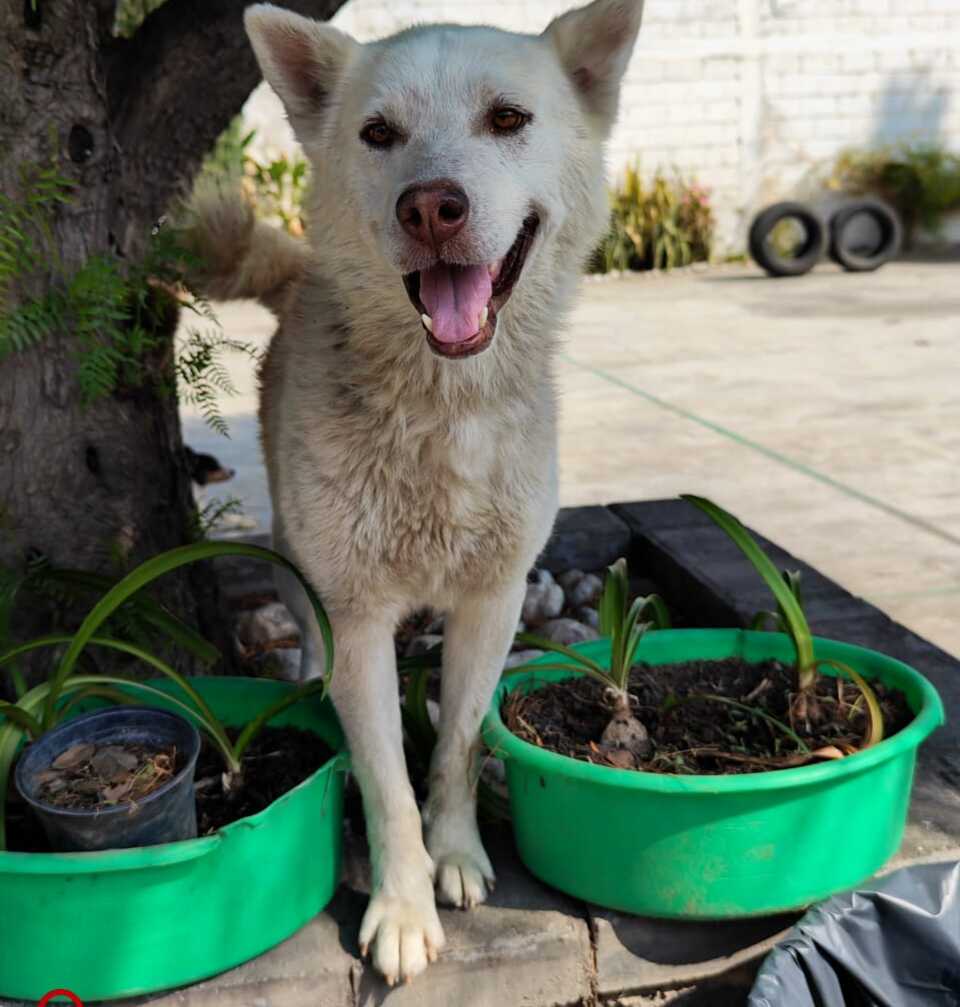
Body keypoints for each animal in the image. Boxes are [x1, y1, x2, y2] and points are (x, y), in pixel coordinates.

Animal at [191, 0, 644, 984]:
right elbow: (387, 775)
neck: (442, 406)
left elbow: (458, 743)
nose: (431, 205)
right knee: (309, 641)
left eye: (507, 119)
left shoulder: (494, 600)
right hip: (295, 561)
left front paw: (457, 855)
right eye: (379, 134)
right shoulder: (356, 615)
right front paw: (401, 907)